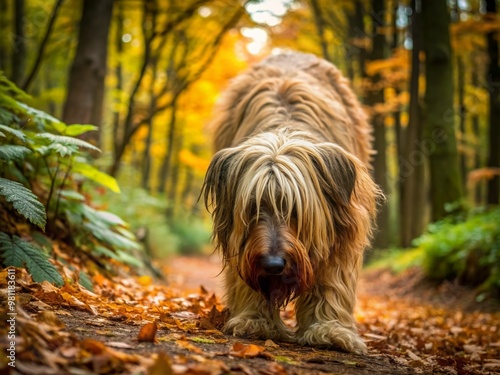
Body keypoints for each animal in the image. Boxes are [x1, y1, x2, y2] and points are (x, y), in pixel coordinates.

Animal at [201, 51, 380, 354]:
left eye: (294, 210)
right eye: (254, 208)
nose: (273, 264)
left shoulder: (341, 225)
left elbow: (332, 278)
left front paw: (328, 329)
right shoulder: (241, 241)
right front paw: (255, 320)